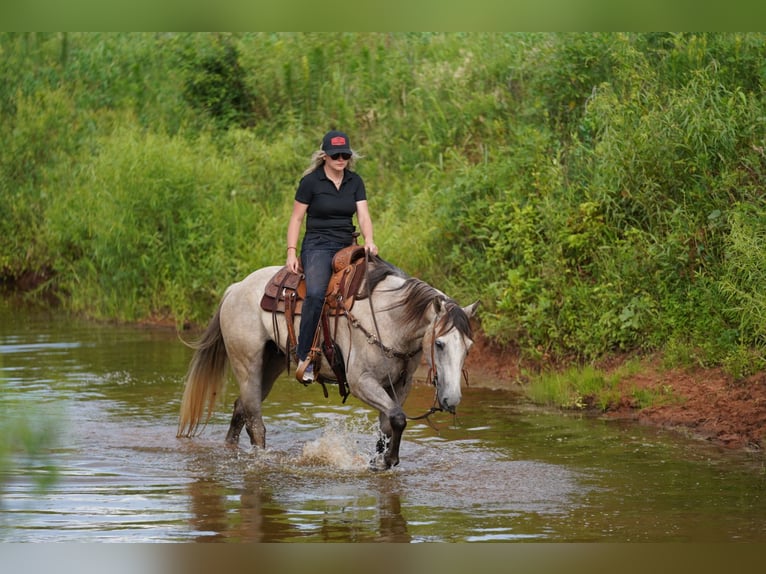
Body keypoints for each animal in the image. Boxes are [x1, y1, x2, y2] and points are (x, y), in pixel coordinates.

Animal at [180, 258, 480, 470]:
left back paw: (231, 450)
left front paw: (379, 461)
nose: (452, 399)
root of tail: (236, 288)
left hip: (270, 364)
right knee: (255, 421)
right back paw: (262, 461)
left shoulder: (399, 386)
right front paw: (387, 460)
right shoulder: (361, 382)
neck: (389, 319)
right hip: (247, 364)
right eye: (439, 344)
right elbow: (398, 418)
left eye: (468, 347)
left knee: (240, 408)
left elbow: (389, 423)